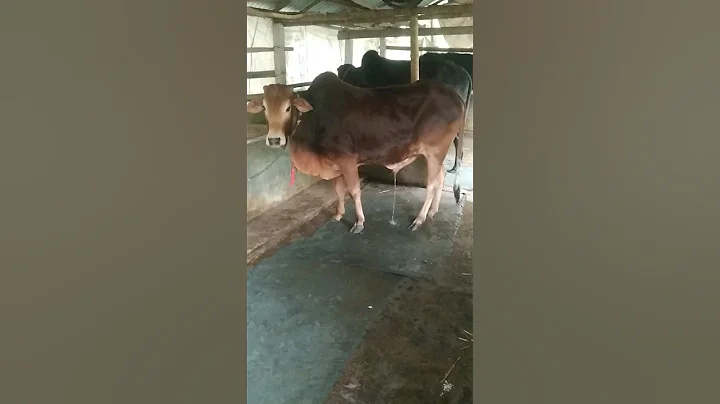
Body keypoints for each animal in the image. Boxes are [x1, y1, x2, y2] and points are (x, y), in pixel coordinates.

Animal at [246, 72, 466, 234]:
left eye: (288, 107)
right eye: (264, 107)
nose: (274, 139)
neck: (314, 118)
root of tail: (455, 96)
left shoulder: (347, 161)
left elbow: (353, 191)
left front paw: (359, 222)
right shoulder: (334, 163)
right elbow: (338, 190)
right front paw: (338, 215)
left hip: (435, 151)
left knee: (432, 184)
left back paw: (420, 219)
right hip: (436, 154)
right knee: (441, 177)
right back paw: (433, 212)